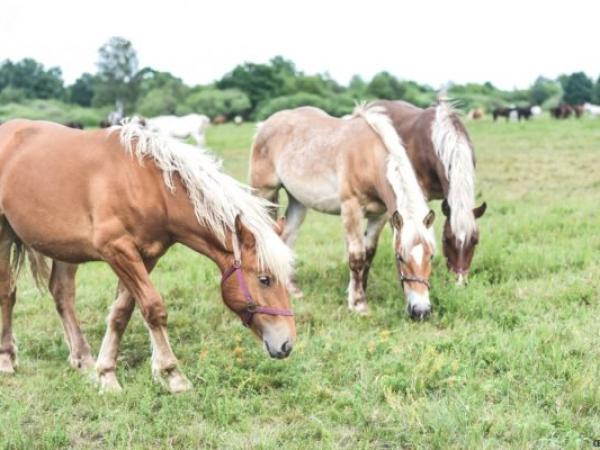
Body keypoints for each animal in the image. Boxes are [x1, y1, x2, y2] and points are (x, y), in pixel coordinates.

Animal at [0, 118, 296, 392]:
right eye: (264, 279)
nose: (287, 344)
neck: (149, 185)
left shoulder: (146, 257)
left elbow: (122, 312)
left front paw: (106, 373)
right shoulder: (118, 251)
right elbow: (154, 308)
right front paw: (172, 374)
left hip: (65, 247)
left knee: (62, 294)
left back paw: (82, 360)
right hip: (4, 235)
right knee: (7, 292)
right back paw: (7, 359)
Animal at [248, 105, 436, 318]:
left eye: (431, 256)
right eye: (400, 257)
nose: (421, 310)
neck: (368, 158)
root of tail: (264, 125)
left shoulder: (379, 215)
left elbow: (368, 253)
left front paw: (357, 291)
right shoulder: (351, 208)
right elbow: (357, 257)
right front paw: (359, 304)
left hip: (298, 202)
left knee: (286, 239)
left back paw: (293, 290)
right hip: (263, 193)